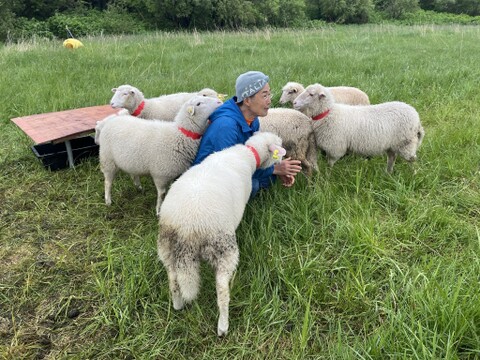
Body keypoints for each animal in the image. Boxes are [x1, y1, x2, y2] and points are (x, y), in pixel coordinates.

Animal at [157, 131, 284, 336]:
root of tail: (187, 229)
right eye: (279, 144)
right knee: (222, 292)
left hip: (166, 247)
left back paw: (177, 305)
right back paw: (223, 326)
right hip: (223, 246)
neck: (248, 154)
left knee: (173, 281)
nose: (283, 157)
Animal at [292, 84, 424, 174]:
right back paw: (388, 172)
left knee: (412, 160)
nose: (294, 103)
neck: (328, 113)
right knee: (392, 157)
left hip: (406, 143)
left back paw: (413, 174)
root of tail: (417, 118)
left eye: (311, 94)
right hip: (392, 145)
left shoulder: (335, 147)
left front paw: (328, 177)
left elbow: (330, 164)